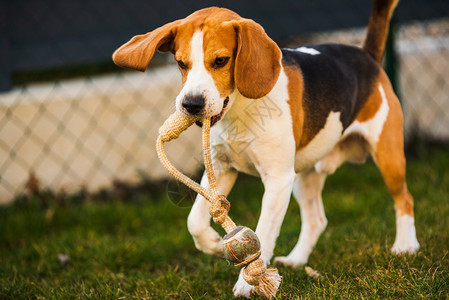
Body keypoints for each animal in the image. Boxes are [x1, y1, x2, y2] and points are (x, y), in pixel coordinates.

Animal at [113, 0, 420, 296]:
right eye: (180, 63)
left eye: (221, 61)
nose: (191, 104)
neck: (239, 109)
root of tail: (367, 56)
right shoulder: (222, 170)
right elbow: (194, 221)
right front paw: (213, 243)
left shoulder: (277, 180)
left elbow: (265, 232)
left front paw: (249, 283)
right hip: (303, 175)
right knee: (316, 220)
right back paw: (296, 260)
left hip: (387, 156)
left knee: (404, 200)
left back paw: (405, 246)